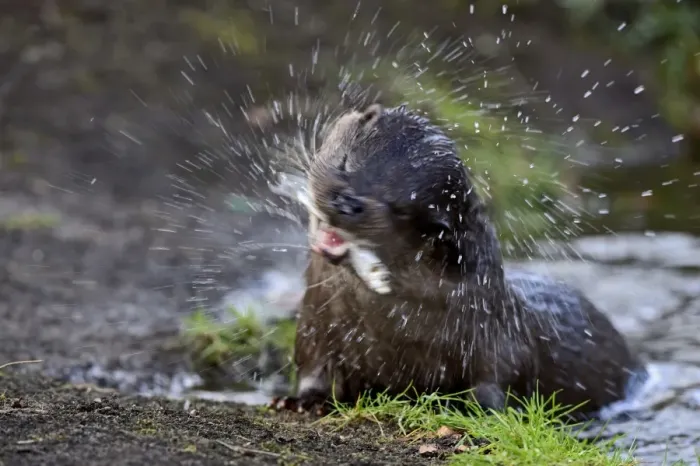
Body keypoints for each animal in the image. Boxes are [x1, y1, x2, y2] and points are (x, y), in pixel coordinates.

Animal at [270, 103, 648, 419]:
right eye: (347, 161)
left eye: (398, 206)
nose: (348, 202)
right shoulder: (315, 327)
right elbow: (313, 371)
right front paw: (301, 401)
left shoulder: (494, 341)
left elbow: (494, 382)